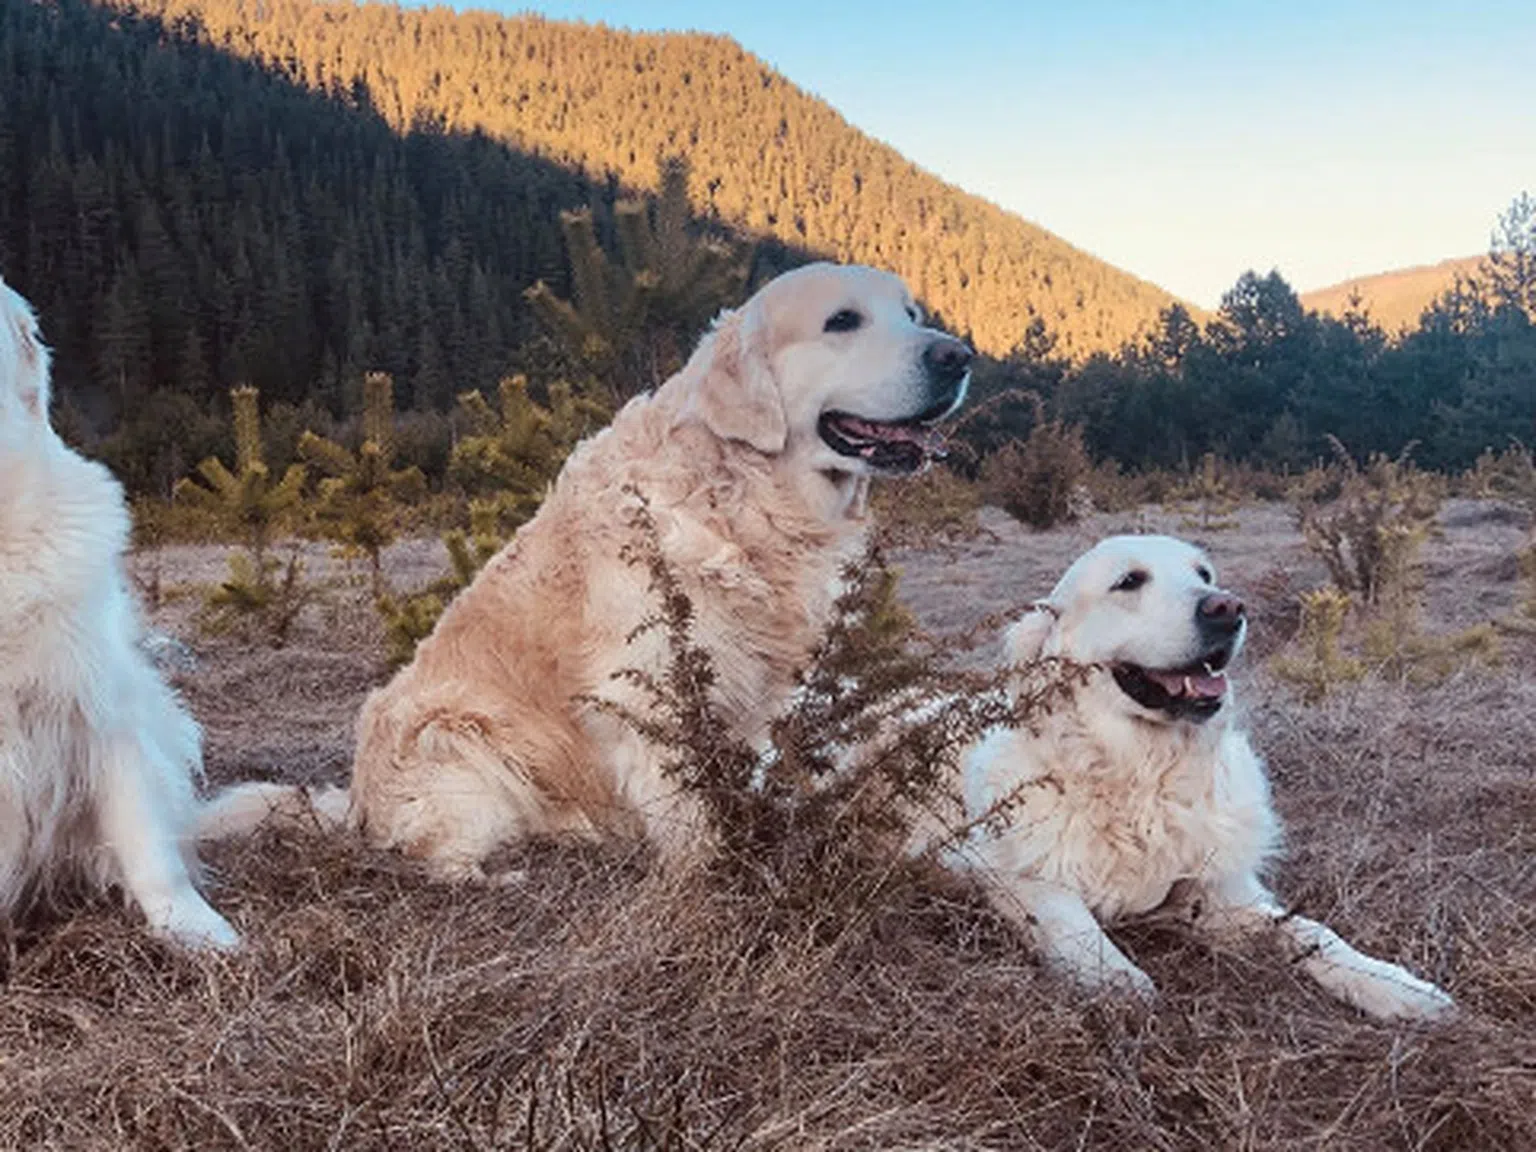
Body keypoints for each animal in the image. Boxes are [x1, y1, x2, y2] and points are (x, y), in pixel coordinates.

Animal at [201, 265, 970, 878]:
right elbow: (693, 819)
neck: (742, 498)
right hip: (460, 743)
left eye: (912, 314)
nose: (959, 355)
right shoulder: (648, 690)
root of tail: (356, 798)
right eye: (843, 320)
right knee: (430, 854)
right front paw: (717, 881)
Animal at [952, 537, 1456, 1026]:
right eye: (1129, 581)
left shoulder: (1214, 892)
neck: (1143, 774)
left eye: (1204, 574)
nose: (1228, 607)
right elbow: (1068, 918)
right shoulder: (1002, 871)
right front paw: (1114, 978)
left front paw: (1393, 983)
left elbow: (1310, 928)